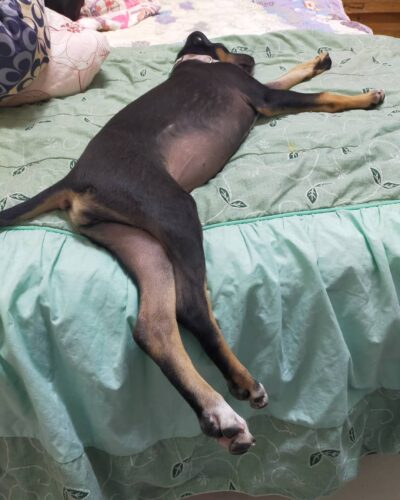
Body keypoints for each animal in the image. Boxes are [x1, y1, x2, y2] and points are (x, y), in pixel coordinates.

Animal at [0, 32, 385, 454]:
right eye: (229, 46)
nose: (250, 57)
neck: (192, 62)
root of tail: (74, 179)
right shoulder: (262, 97)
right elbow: (323, 96)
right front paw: (365, 97)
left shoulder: (260, 91)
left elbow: (288, 75)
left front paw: (315, 63)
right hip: (176, 211)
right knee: (191, 306)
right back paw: (241, 382)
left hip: (142, 246)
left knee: (153, 328)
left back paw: (219, 416)